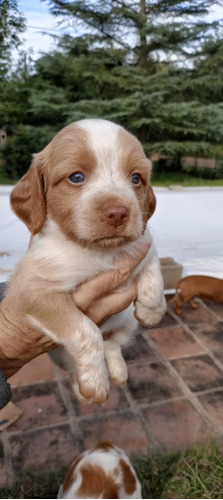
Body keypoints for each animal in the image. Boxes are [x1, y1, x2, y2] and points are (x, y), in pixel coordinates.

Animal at [6, 119, 166, 404]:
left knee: (112, 344)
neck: (100, 251)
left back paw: (119, 372)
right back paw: (82, 390)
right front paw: (95, 383)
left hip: (127, 323)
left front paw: (152, 311)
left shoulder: (144, 243)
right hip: (58, 353)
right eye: (76, 177)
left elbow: (154, 274)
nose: (118, 213)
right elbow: (86, 330)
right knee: (77, 362)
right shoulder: (31, 290)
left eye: (136, 178)